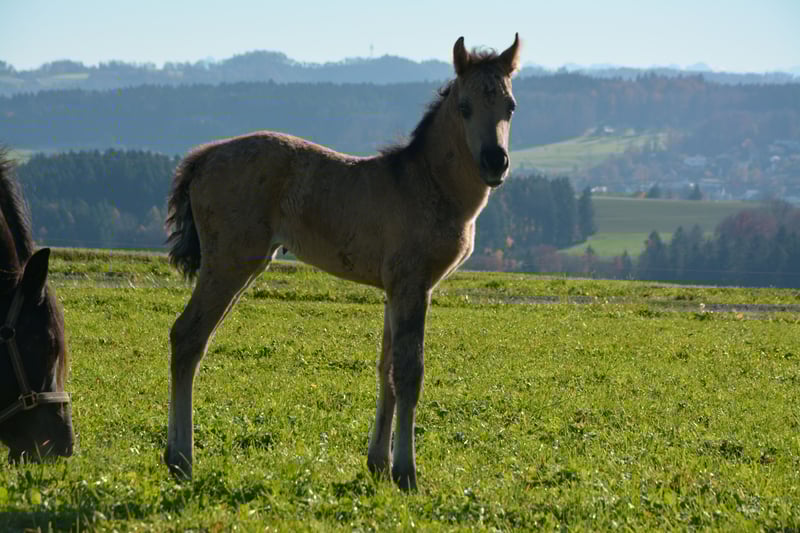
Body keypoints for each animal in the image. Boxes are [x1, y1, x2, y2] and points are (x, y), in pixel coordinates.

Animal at [164, 34, 521, 490]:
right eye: (465, 106)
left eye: (510, 106)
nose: (495, 161)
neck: (428, 184)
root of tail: (203, 157)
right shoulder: (413, 284)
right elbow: (409, 372)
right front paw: (407, 473)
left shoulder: (394, 289)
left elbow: (386, 369)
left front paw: (378, 464)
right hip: (231, 261)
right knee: (188, 336)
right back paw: (181, 460)